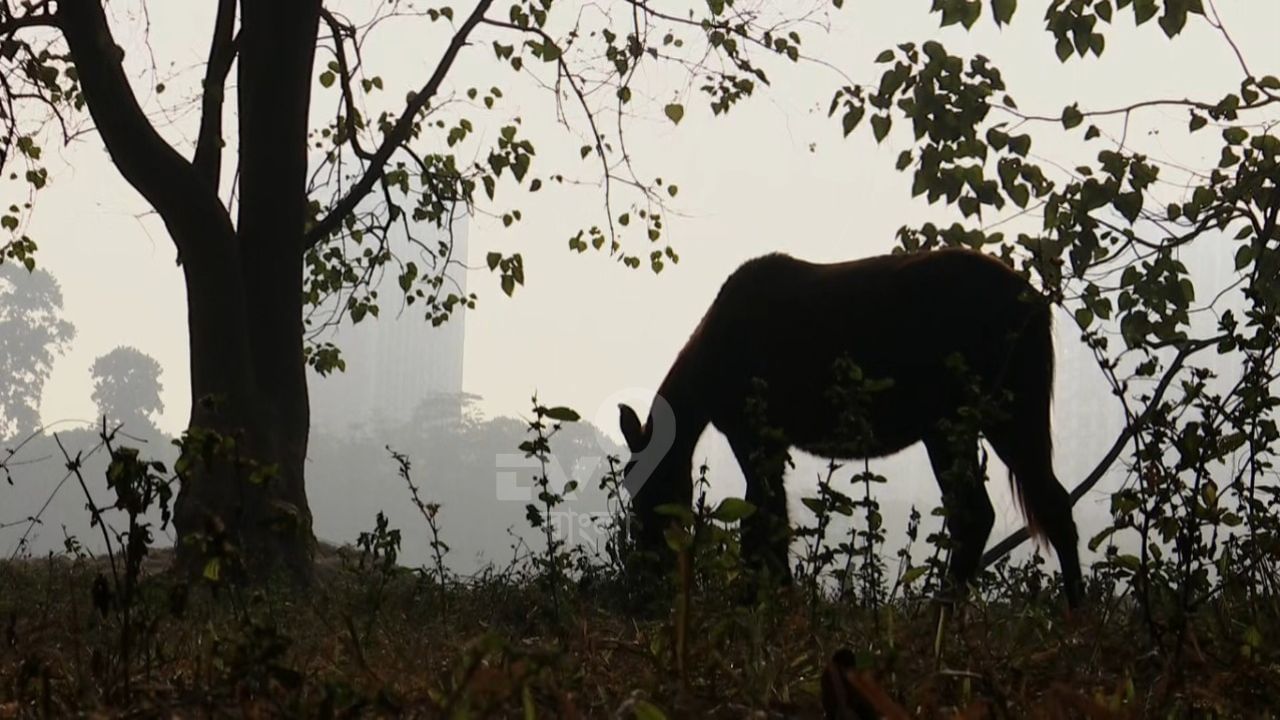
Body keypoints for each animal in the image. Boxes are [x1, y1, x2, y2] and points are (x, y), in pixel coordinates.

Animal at [616, 245, 1080, 604]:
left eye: (646, 487)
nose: (648, 575)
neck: (710, 369)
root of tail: (1039, 308)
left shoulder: (755, 436)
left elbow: (762, 523)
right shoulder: (771, 442)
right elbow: (768, 521)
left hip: (982, 420)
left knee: (1006, 511)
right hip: (980, 422)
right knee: (1017, 509)